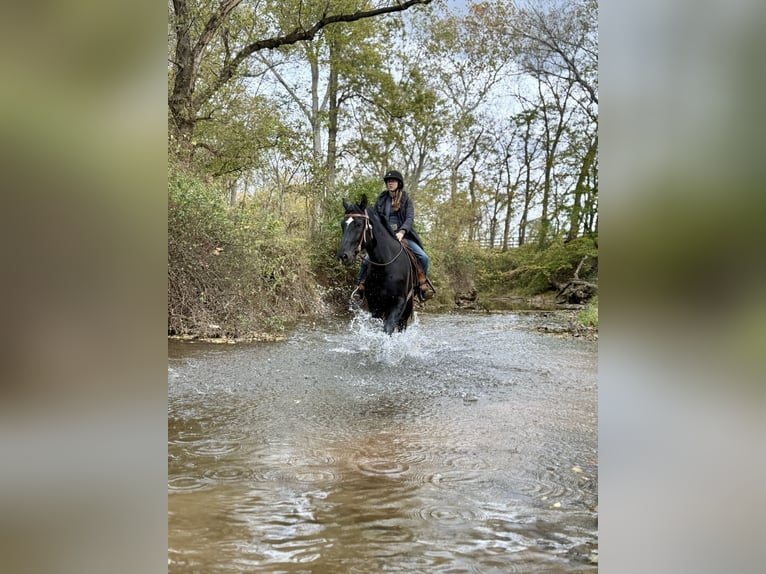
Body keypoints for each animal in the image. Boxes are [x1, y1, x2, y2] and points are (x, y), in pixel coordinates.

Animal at [337, 195, 417, 334]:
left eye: (359, 224)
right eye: (343, 225)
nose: (343, 255)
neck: (385, 266)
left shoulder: (399, 302)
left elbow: (388, 329)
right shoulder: (374, 304)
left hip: (406, 310)